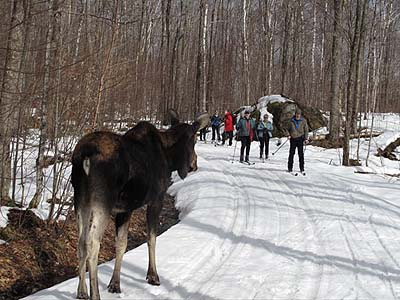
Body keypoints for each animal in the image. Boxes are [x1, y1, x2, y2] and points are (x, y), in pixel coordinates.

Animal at [71, 114, 206, 298]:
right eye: (195, 140)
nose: (194, 165)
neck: (169, 158)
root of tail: (85, 155)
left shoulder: (125, 209)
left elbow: (121, 244)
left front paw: (115, 284)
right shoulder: (156, 199)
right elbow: (151, 238)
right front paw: (153, 276)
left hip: (80, 199)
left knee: (81, 242)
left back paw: (82, 292)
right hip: (102, 202)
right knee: (92, 242)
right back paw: (95, 295)